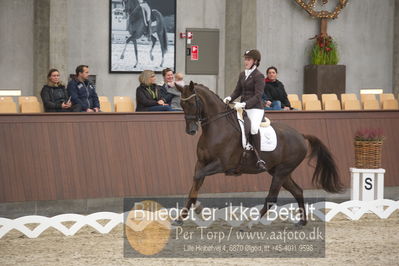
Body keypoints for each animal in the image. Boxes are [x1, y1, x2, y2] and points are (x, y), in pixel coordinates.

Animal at [175, 81, 344, 227]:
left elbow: (197, 177)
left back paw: (250, 223)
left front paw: (197, 207)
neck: (217, 127)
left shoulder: (222, 164)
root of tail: (301, 135)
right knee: (297, 191)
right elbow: (194, 184)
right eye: (182, 105)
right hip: (279, 171)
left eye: (192, 103)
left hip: (282, 171)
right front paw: (181, 217)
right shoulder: (201, 163)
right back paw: (301, 222)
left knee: (272, 197)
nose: (191, 130)